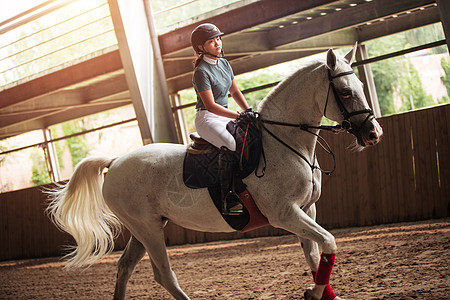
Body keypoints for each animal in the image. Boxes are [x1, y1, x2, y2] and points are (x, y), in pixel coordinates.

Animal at [46, 45, 384, 300]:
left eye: (360, 87)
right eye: (345, 92)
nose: (373, 134)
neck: (285, 141)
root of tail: (115, 162)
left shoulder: (306, 209)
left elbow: (314, 255)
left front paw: (323, 293)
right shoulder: (284, 213)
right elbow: (328, 243)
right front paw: (314, 293)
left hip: (143, 228)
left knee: (125, 267)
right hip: (148, 229)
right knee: (164, 274)